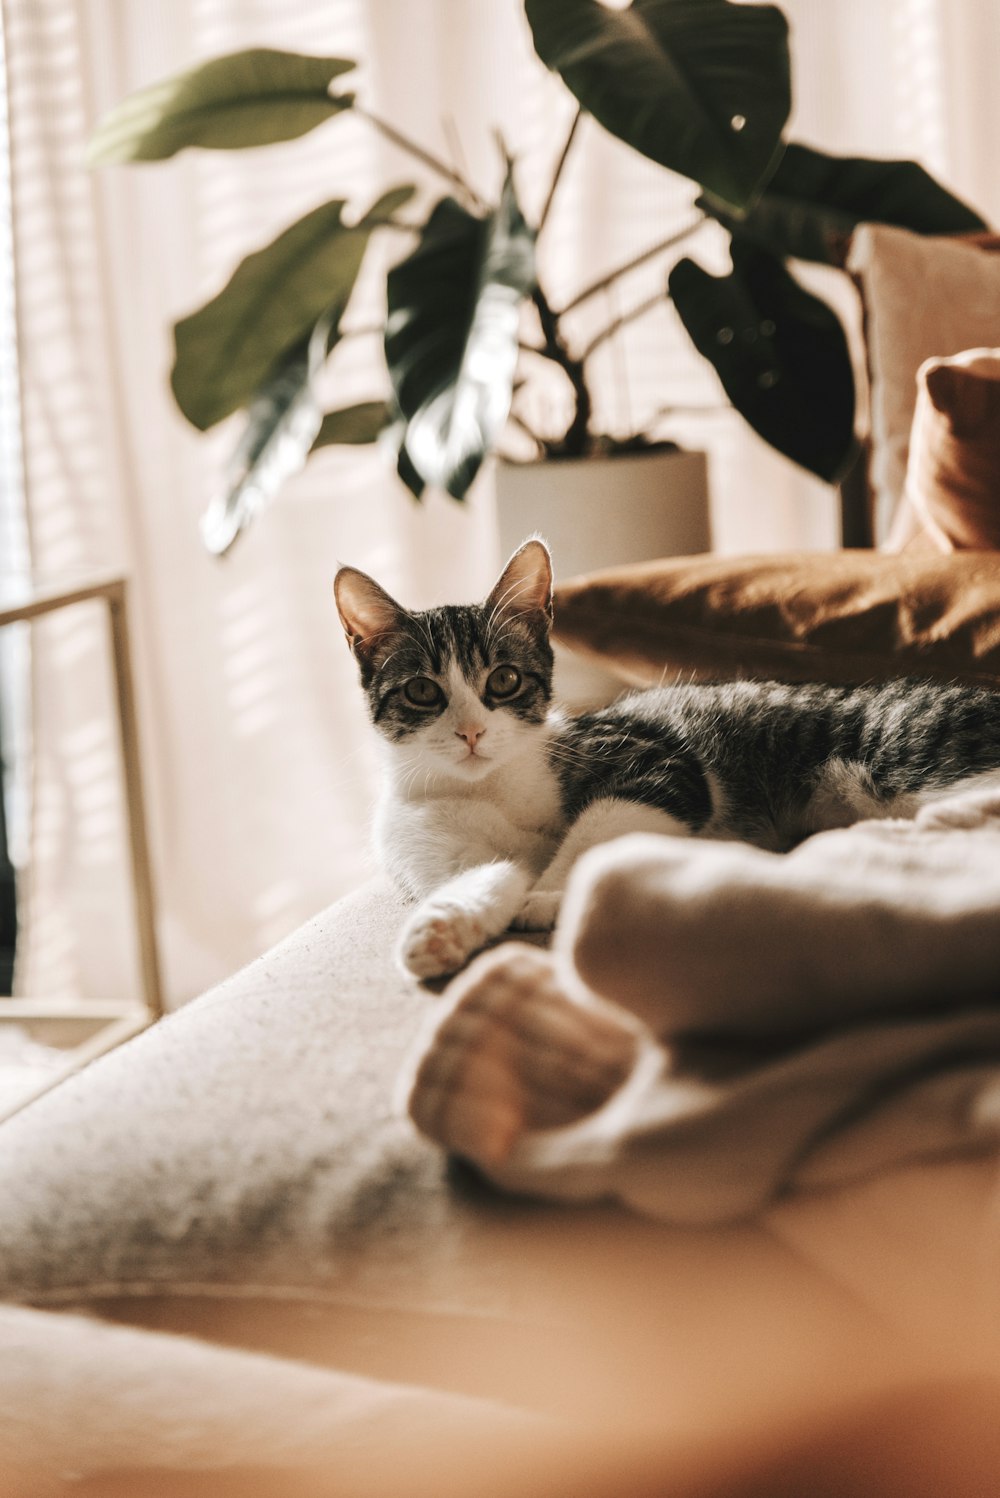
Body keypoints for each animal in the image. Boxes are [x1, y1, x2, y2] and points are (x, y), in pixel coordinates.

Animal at [333, 539, 999, 982]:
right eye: (423, 691)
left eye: (503, 680)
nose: (471, 732)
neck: (488, 785)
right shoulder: (423, 839)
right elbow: (486, 871)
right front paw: (441, 927)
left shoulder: (653, 759)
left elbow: (600, 823)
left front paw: (547, 894)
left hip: (907, 749)